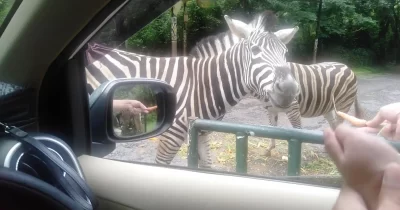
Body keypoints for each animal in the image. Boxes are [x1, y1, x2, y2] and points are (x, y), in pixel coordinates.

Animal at [84, 12, 298, 168]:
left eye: (286, 53)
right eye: (255, 51)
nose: (289, 89)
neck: (201, 84)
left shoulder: (202, 131)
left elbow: (207, 166)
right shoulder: (170, 135)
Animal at [189, 11, 364, 156]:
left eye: (285, 53)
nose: (289, 89)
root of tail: (347, 67)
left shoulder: (293, 109)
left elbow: (298, 133)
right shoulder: (270, 109)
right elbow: (272, 128)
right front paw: (268, 150)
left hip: (342, 105)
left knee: (339, 125)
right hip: (328, 107)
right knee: (334, 124)